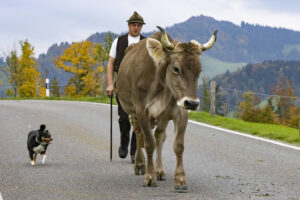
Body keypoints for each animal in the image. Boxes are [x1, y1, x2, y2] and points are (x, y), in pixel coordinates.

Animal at [116, 25, 217, 191]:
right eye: (176, 68)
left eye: (199, 70)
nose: (192, 103)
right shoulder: (141, 111)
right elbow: (148, 143)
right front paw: (150, 177)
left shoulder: (181, 112)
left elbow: (178, 145)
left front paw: (180, 179)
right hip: (132, 112)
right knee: (139, 135)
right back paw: (140, 164)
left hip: (163, 117)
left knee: (159, 137)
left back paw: (159, 170)